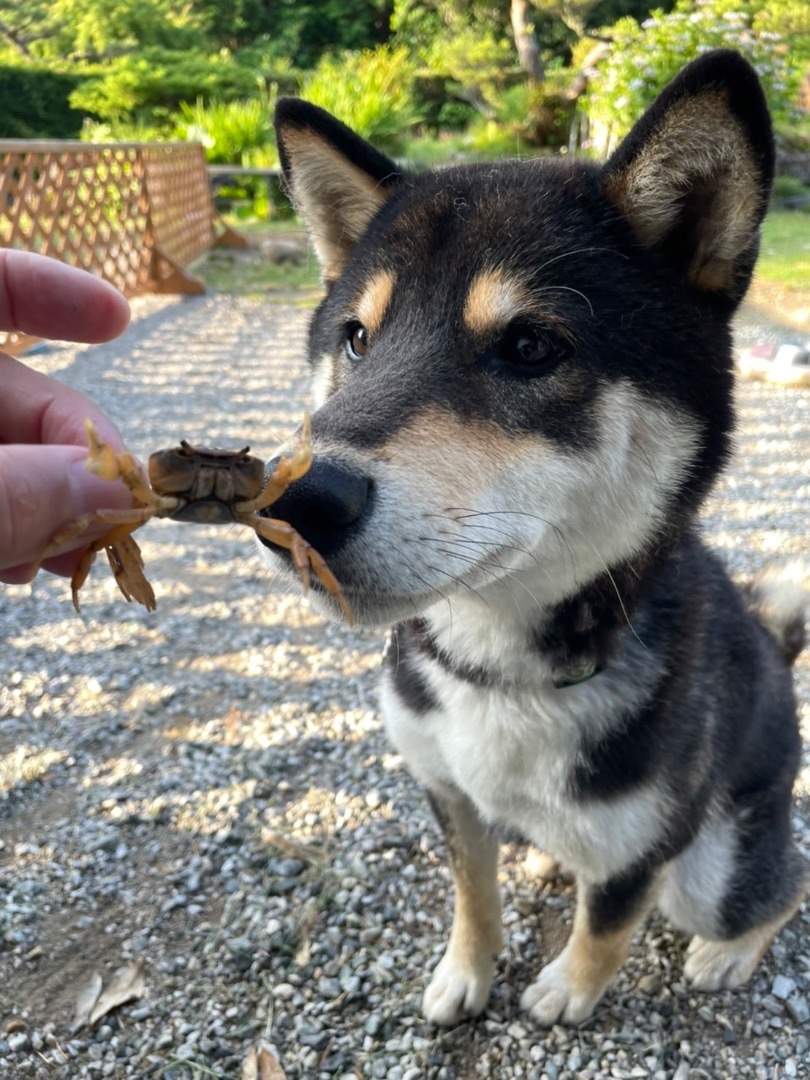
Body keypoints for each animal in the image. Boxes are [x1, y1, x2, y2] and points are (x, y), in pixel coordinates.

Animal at [260, 49, 808, 1027]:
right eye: (357, 339)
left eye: (529, 347)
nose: (292, 504)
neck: (502, 670)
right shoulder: (447, 792)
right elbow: (474, 892)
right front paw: (465, 972)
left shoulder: (647, 840)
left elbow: (608, 923)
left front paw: (567, 992)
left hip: (712, 868)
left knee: (786, 885)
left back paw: (725, 954)